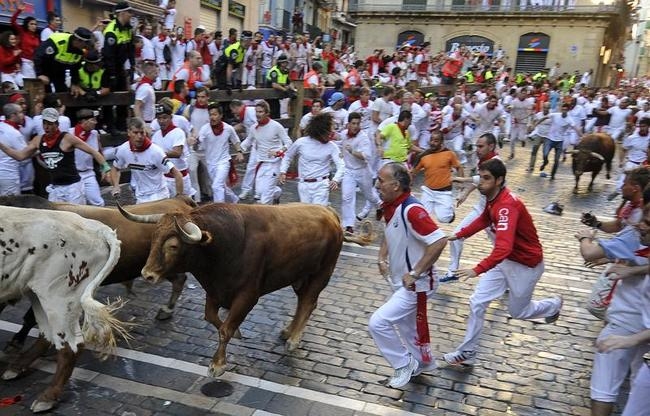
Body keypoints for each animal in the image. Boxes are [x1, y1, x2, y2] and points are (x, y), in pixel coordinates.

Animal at [0, 195, 197, 352]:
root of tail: (179, 200)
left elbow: (29, 317)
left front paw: (17, 342)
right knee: (179, 279)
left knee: (180, 279)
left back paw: (166, 309)